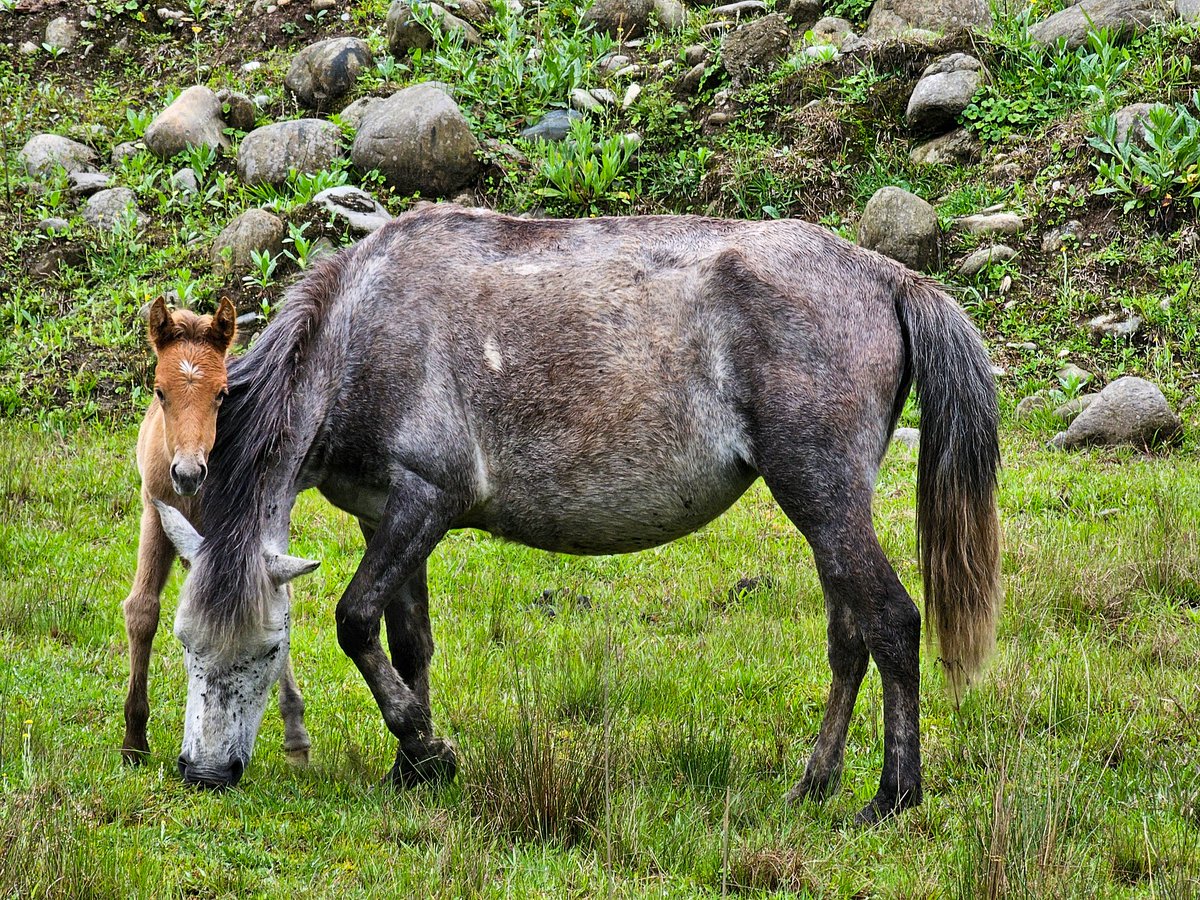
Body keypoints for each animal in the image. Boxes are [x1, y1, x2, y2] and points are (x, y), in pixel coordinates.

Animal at [118, 300, 309, 772]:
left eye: (221, 394)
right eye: (159, 391)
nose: (188, 473)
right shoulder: (155, 513)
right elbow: (143, 610)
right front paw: (134, 741)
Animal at [159, 206, 1003, 825]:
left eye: (270, 649)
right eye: (185, 645)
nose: (204, 774)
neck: (360, 337)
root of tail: (883, 274)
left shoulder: (425, 503)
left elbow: (355, 621)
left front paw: (431, 752)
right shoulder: (385, 519)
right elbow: (406, 643)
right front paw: (412, 767)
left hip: (823, 500)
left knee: (892, 623)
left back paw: (892, 797)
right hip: (827, 512)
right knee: (849, 640)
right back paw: (814, 785)